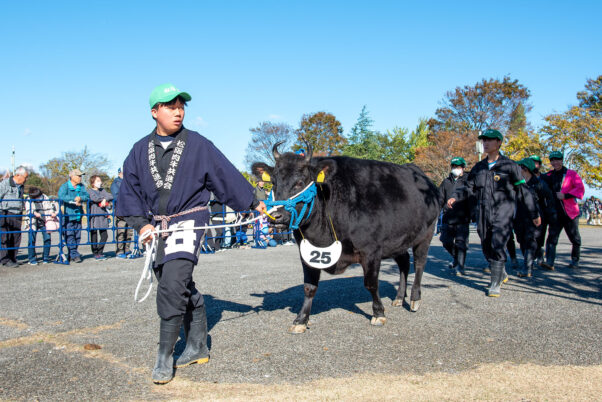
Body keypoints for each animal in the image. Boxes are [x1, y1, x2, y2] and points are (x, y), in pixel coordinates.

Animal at [251, 142, 438, 332]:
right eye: (273, 182)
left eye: (300, 182)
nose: (276, 216)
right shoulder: (306, 252)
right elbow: (309, 287)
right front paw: (301, 320)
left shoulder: (371, 251)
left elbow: (371, 283)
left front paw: (378, 313)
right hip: (398, 240)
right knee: (404, 263)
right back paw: (399, 297)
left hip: (426, 234)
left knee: (420, 264)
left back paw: (414, 298)